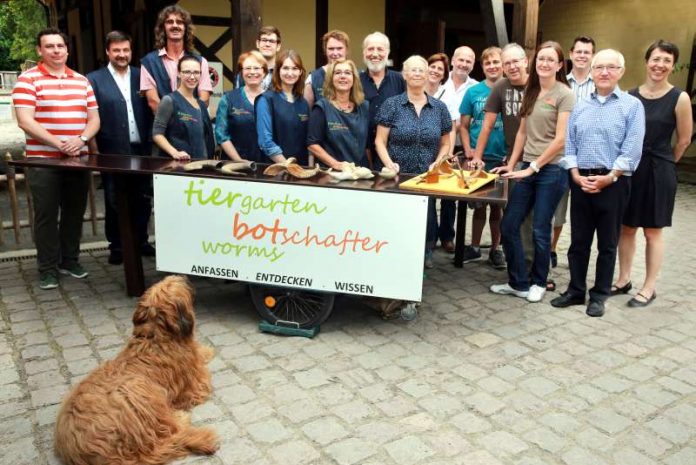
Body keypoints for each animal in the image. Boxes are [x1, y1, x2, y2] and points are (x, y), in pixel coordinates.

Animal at [53, 276, 218, 464]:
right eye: (172, 284)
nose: (183, 277)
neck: (154, 336)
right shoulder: (195, 385)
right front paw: (207, 350)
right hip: (142, 395)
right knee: (169, 431)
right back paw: (181, 418)